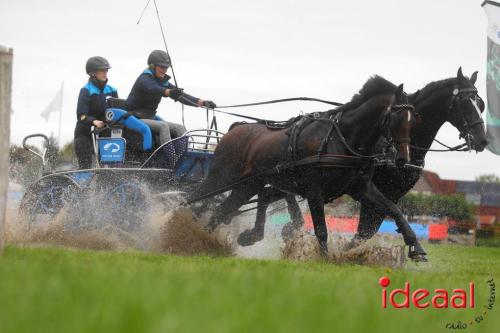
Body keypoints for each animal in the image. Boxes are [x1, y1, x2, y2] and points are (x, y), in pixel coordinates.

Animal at [193, 76, 428, 260]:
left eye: (415, 119)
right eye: (396, 117)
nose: (403, 159)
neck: (342, 139)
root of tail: (235, 129)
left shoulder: (361, 188)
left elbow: (393, 209)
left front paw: (416, 246)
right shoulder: (314, 190)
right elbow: (321, 229)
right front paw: (323, 260)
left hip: (248, 185)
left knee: (222, 210)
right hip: (221, 178)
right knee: (194, 199)